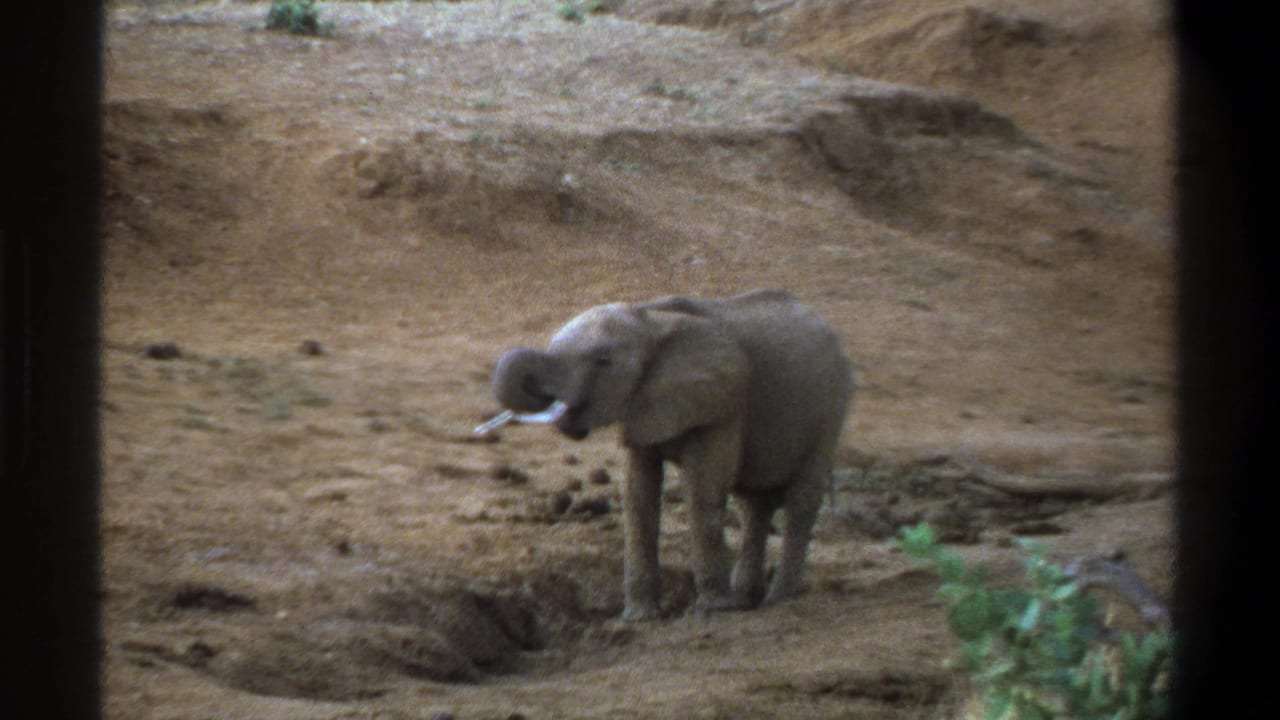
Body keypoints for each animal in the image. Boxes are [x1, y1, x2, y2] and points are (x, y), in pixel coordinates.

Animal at [490, 289, 854, 620]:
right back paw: (746, 599)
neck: (648, 317)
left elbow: (704, 488)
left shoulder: (724, 400)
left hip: (831, 408)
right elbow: (638, 494)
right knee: (753, 506)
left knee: (799, 501)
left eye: (604, 362)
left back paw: (779, 598)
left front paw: (712, 610)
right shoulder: (643, 401)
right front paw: (639, 617)